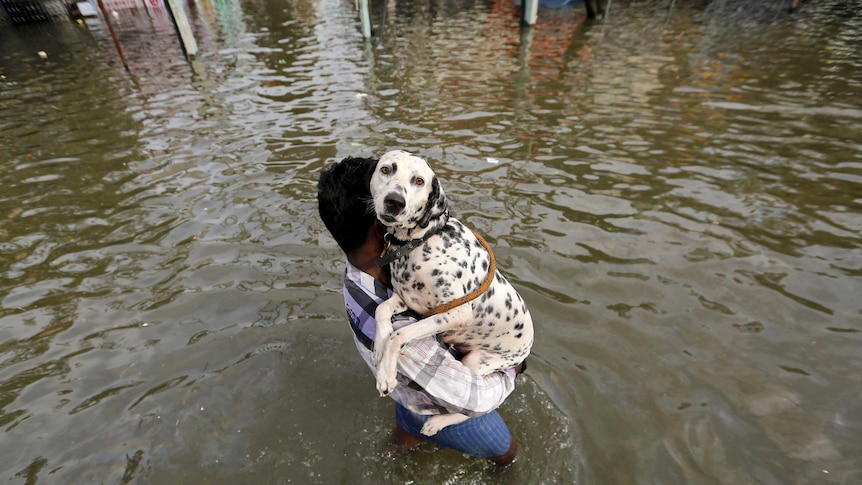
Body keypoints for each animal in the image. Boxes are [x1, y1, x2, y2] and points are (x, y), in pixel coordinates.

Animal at [372, 148, 532, 434]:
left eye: (419, 181)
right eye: (386, 169)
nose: (394, 202)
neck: (421, 241)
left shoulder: (453, 314)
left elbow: (399, 335)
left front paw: (386, 375)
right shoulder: (406, 299)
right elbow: (381, 311)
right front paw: (379, 349)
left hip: (477, 361)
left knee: (472, 410)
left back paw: (438, 421)